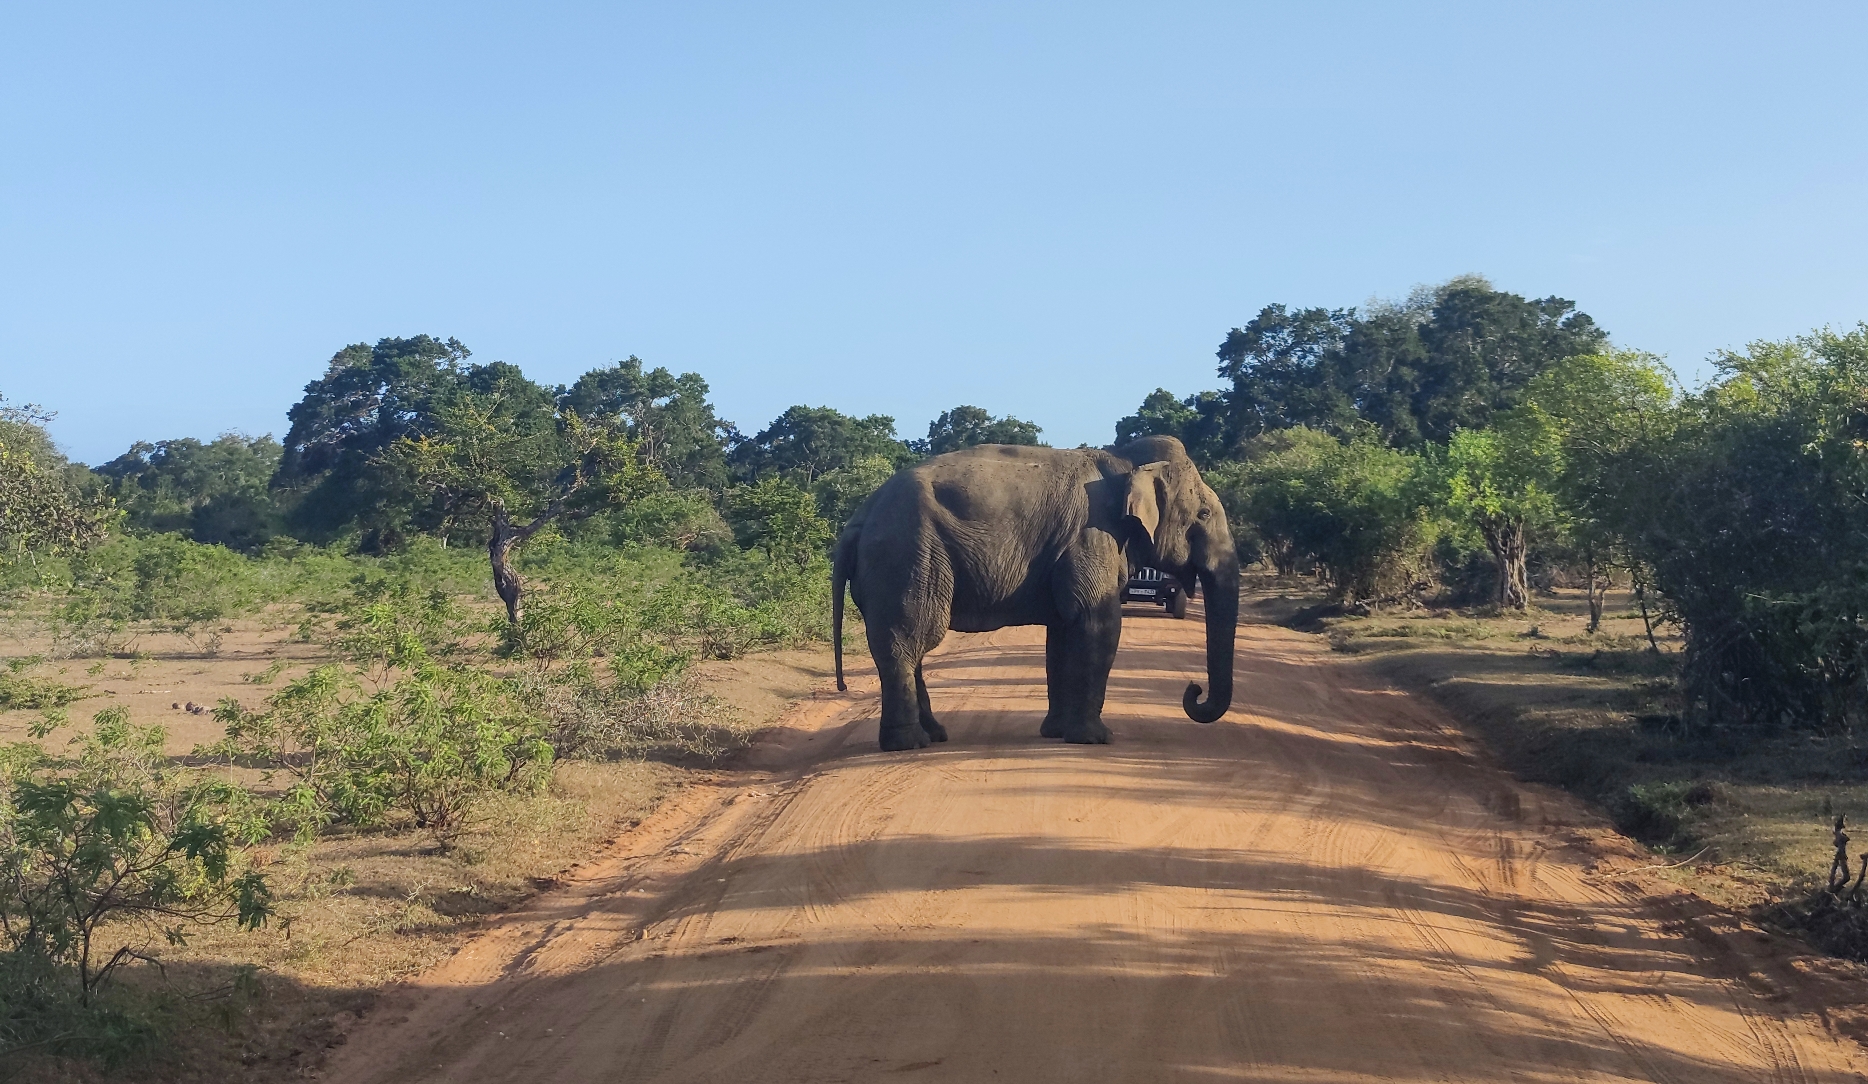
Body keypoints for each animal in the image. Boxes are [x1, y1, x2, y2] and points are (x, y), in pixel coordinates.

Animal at [833, 431, 1240, 743]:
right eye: (1203, 514)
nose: (1193, 690)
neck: (1123, 459)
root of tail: (859, 517)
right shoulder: (1091, 534)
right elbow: (1098, 623)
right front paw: (1095, 739)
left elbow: (1062, 631)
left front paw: (1057, 733)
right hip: (908, 555)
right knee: (909, 638)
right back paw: (909, 743)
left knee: (907, 641)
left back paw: (935, 735)